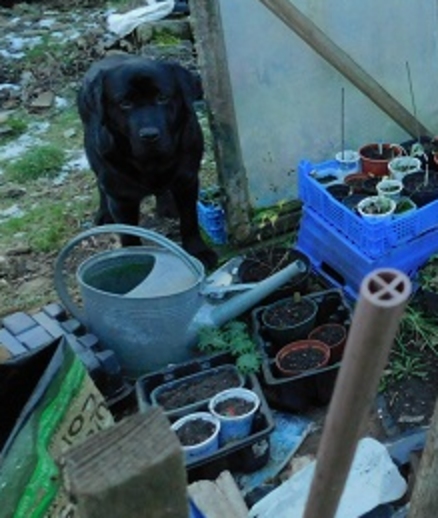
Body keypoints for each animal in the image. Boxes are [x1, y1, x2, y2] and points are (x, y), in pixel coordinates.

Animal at [78, 54, 217, 270]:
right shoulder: (122, 198)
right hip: (93, 154)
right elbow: (128, 235)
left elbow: (190, 220)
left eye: (162, 98)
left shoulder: (187, 181)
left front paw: (198, 250)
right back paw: (103, 214)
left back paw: (167, 207)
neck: (151, 163)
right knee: (100, 184)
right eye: (125, 103)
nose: (150, 135)